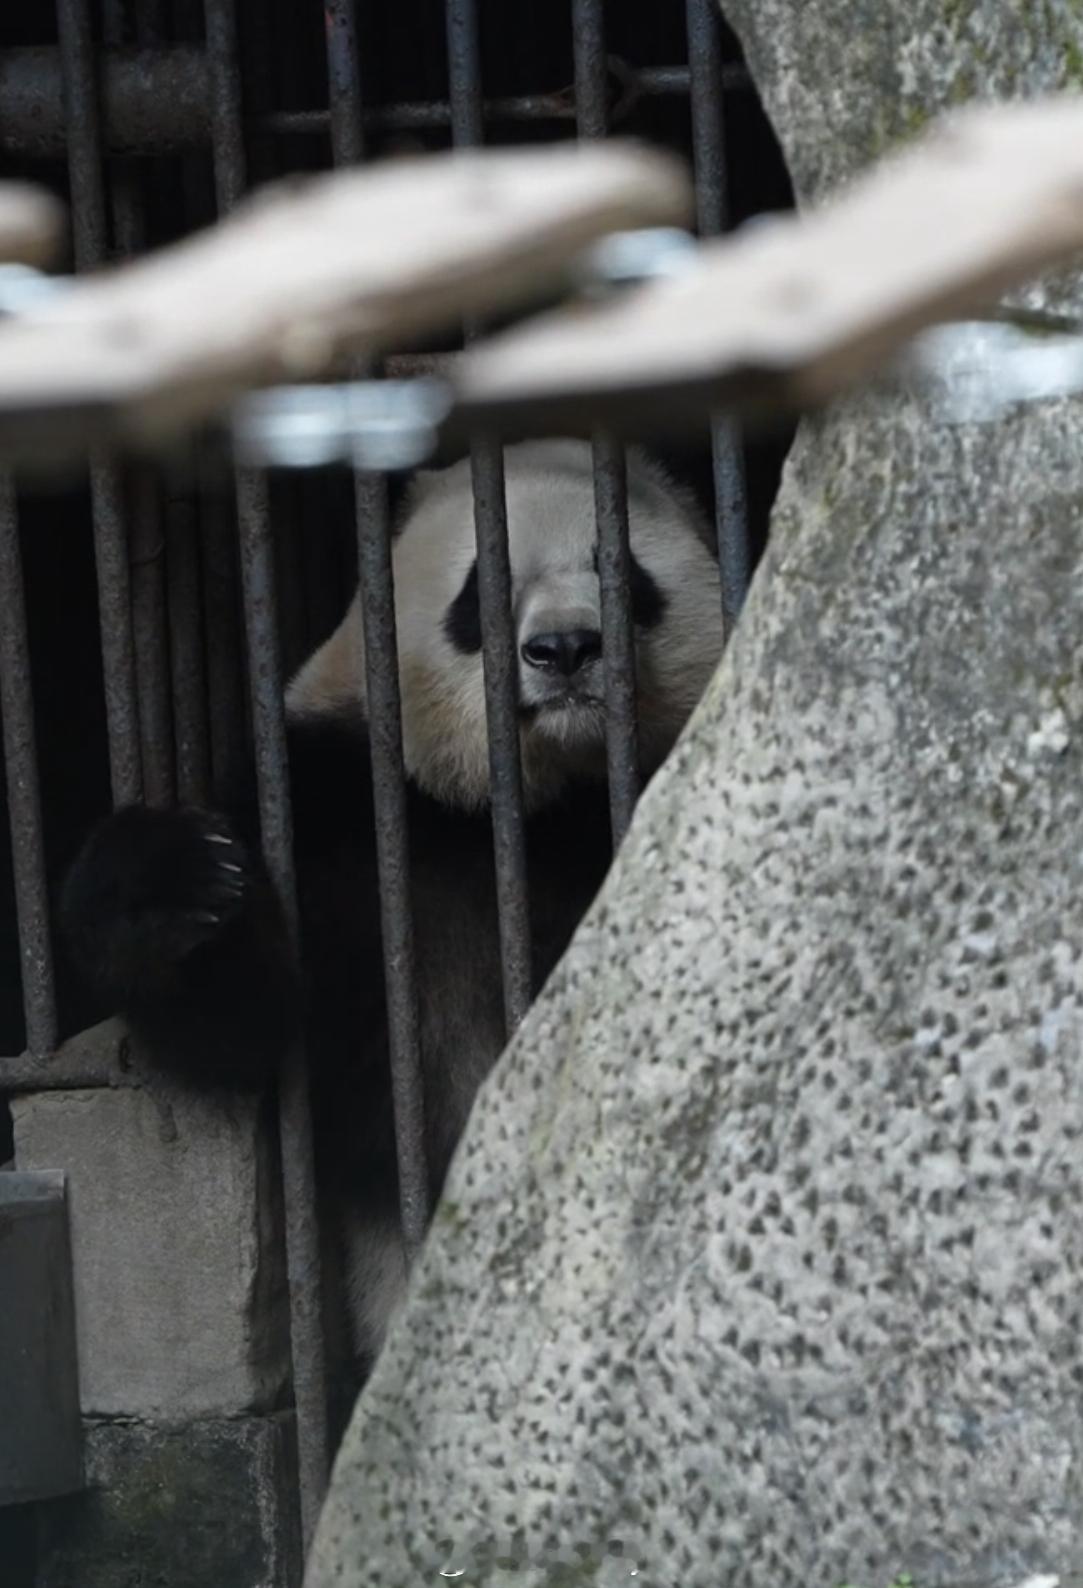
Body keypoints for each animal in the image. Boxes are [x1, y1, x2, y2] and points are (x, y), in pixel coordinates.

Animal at [56, 441, 717, 1372]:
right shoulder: (341, 816)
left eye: (620, 569)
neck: (535, 804)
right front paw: (175, 883)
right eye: (481, 588)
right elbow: (245, 1021)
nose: (564, 649)